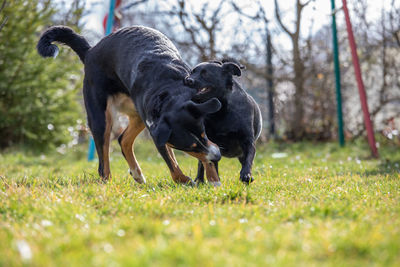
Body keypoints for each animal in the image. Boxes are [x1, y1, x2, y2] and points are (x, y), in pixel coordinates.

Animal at [37, 26, 222, 186]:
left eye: (204, 134)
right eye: (190, 147)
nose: (218, 156)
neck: (168, 87)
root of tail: (90, 51)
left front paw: (213, 179)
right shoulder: (158, 133)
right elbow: (173, 164)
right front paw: (185, 181)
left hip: (137, 115)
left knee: (123, 139)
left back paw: (137, 173)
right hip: (100, 118)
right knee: (103, 162)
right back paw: (109, 182)